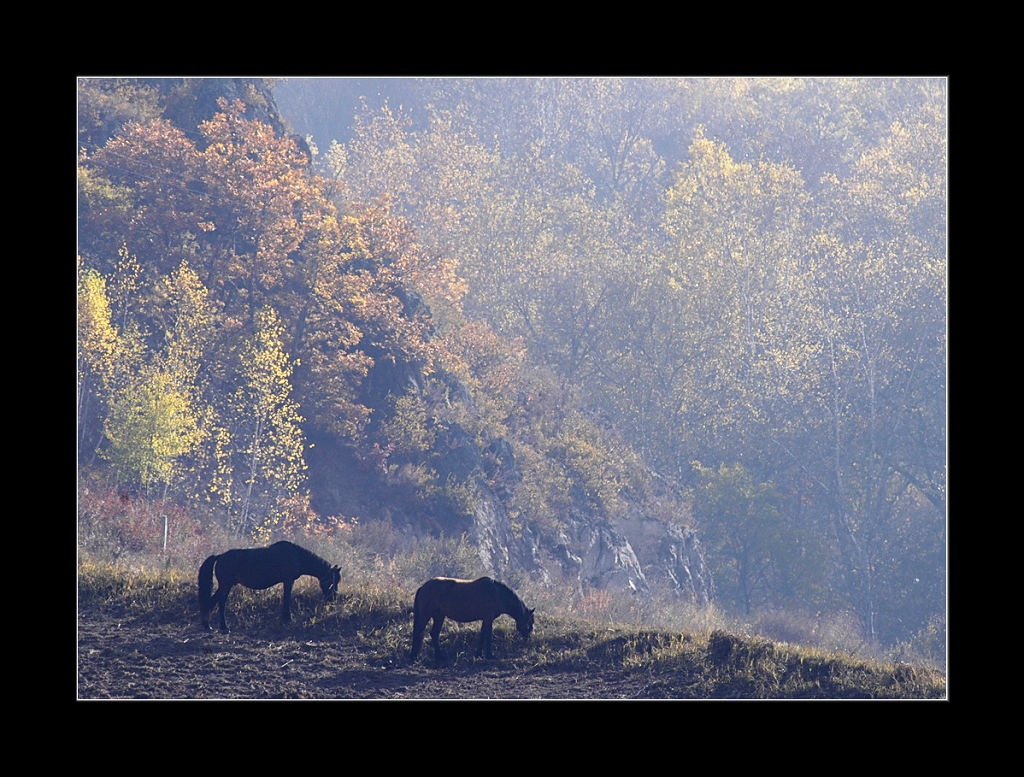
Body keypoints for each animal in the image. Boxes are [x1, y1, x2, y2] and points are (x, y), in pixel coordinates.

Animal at [197, 540, 342, 630]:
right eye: (332, 581)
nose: (333, 599)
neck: (296, 556)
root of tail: (219, 556)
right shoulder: (288, 581)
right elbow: (287, 599)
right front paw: (287, 619)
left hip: (226, 585)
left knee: (213, 601)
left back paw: (208, 625)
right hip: (226, 585)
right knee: (220, 602)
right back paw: (223, 627)